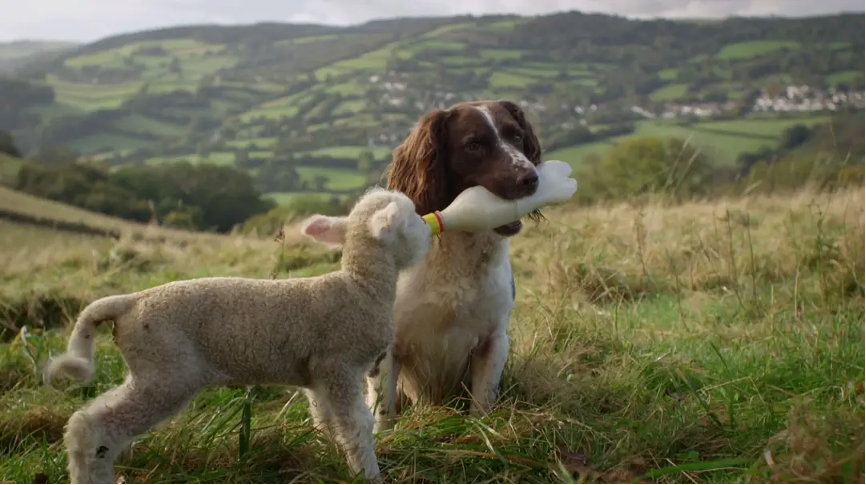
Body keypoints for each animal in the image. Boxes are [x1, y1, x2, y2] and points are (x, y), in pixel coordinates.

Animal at [41, 186, 432, 484]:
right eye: (411, 218)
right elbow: (357, 426)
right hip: (168, 369)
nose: (430, 232)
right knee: (93, 426)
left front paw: (330, 459)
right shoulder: (340, 365)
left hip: (148, 368)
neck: (360, 287)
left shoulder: (318, 376)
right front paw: (368, 474)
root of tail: (128, 302)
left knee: (86, 421)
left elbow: (326, 423)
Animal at [362, 98, 540, 432]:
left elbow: (482, 403)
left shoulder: (493, 339)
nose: (531, 178)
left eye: (517, 136)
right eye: (474, 145)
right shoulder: (388, 346)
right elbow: (384, 412)